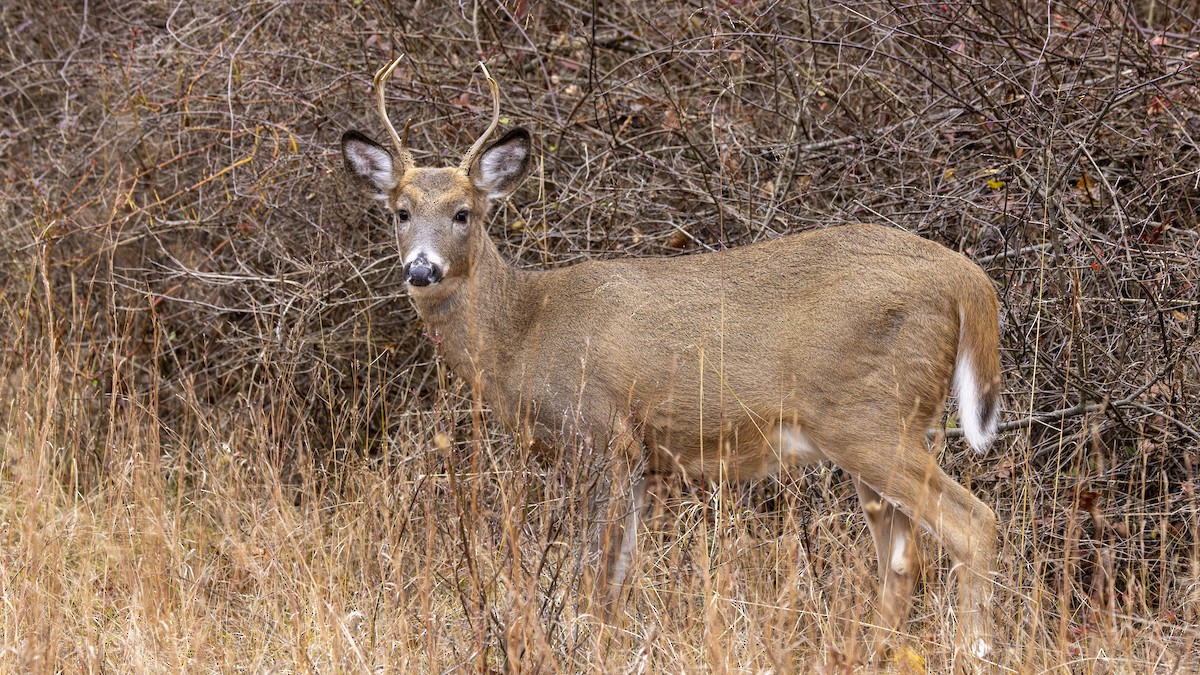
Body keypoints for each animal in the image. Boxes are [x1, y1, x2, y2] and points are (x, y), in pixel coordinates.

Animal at [340, 57, 1003, 663]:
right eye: (401, 212)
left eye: (463, 213)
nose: (421, 269)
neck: (527, 333)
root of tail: (967, 278)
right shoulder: (639, 461)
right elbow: (618, 575)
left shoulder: (601, 435)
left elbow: (593, 571)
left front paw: (588, 649)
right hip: (888, 426)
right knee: (904, 555)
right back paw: (871, 652)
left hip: (870, 416)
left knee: (972, 524)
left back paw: (976, 650)